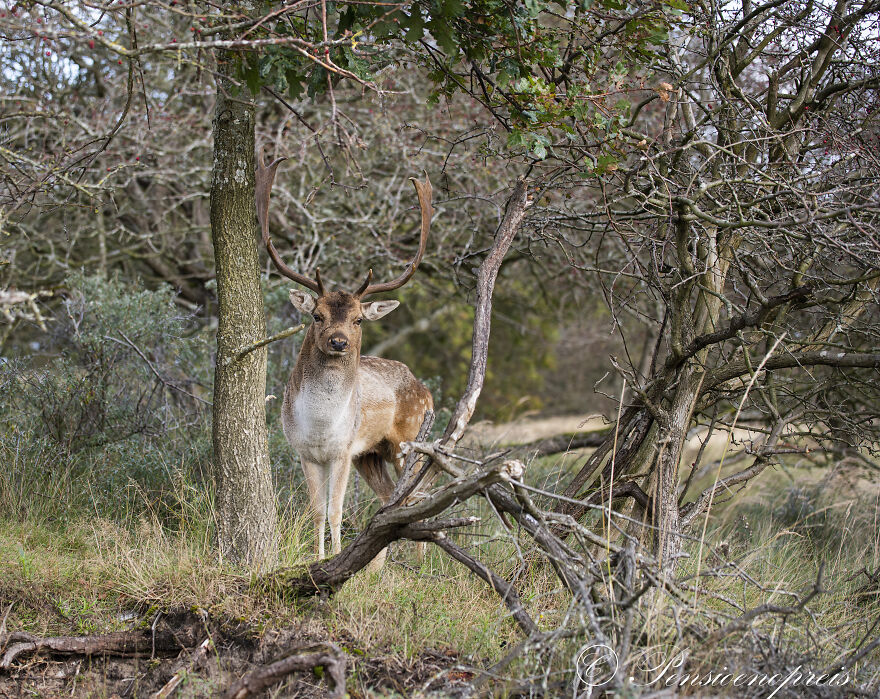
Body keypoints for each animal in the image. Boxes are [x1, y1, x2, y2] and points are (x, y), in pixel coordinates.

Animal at [255, 151, 434, 570]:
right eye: (317, 315)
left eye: (357, 319)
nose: (338, 342)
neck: (321, 426)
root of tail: (423, 388)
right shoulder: (305, 451)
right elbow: (317, 511)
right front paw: (318, 559)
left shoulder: (341, 450)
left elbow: (335, 511)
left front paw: (335, 560)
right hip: (370, 454)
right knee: (388, 499)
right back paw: (379, 566)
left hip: (408, 440)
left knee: (416, 495)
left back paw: (421, 566)